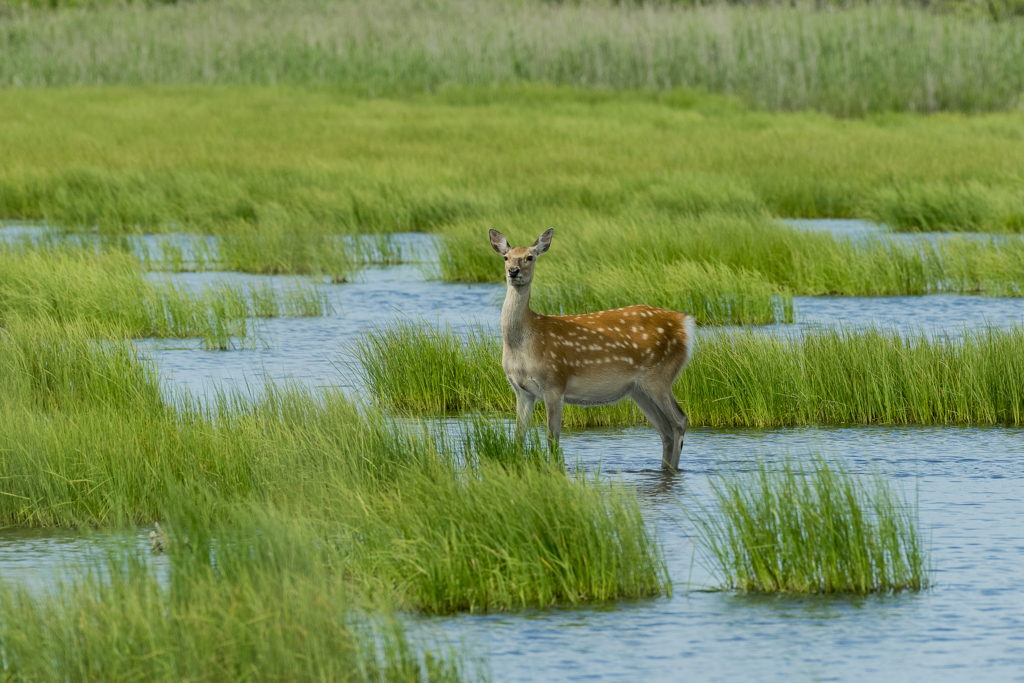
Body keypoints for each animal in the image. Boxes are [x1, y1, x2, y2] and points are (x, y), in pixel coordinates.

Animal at [487, 228, 696, 471]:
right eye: (506, 257)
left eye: (530, 257)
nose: (513, 271)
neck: (523, 346)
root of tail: (685, 324)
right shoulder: (522, 391)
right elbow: (518, 437)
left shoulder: (555, 383)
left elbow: (552, 438)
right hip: (638, 389)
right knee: (665, 429)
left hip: (659, 375)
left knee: (679, 420)